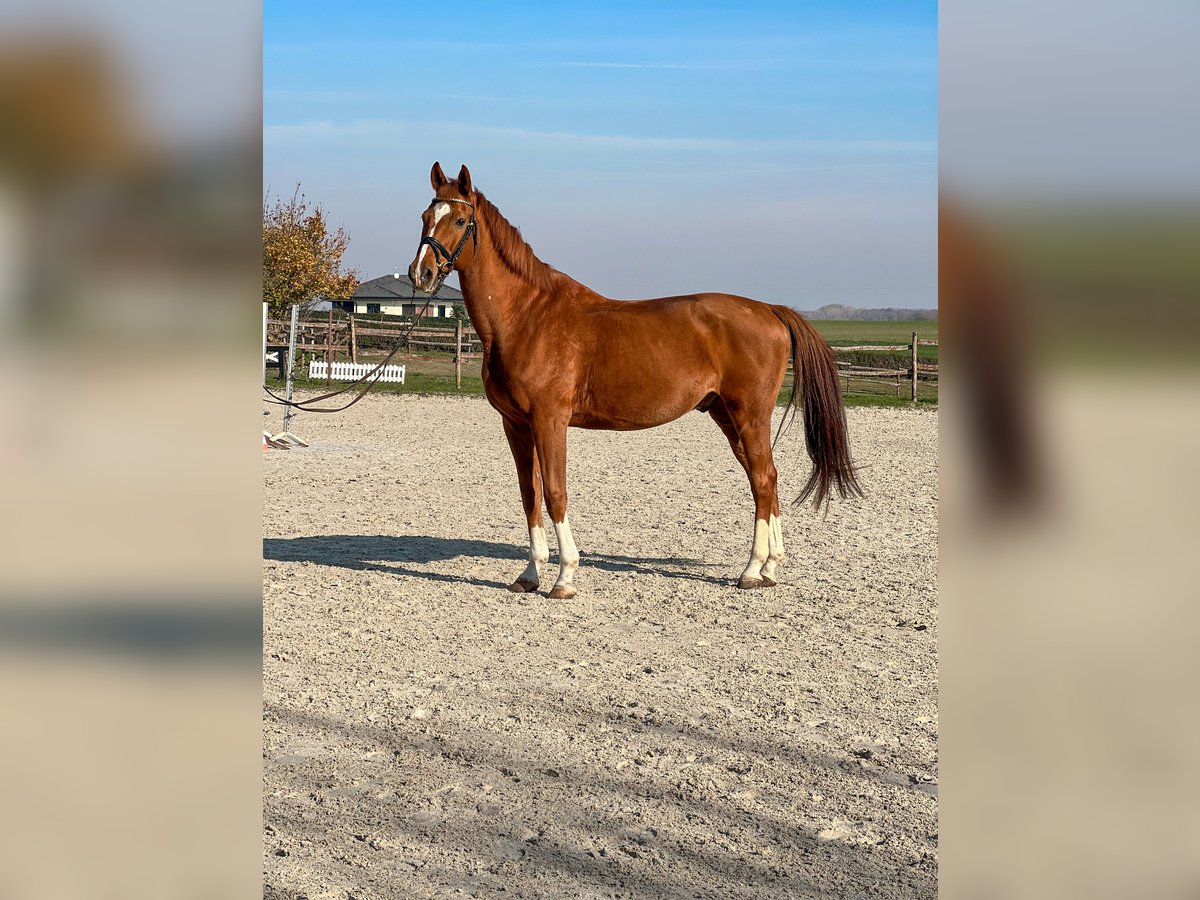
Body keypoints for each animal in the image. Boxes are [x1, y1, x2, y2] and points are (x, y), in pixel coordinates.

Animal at [408, 162, 859, 600]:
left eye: (461, 219)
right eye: (426, 216)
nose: (421, 273)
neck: (527, 316)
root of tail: (769, 310)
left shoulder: (549, 421)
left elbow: (555, 492)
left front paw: (565, 577)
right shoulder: (516, 424)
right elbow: (529, 495)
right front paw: (530, 574)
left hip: (749, 414)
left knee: (763, 480)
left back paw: (751, 571)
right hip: (726, 415)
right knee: (765, 478)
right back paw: (769, 568)